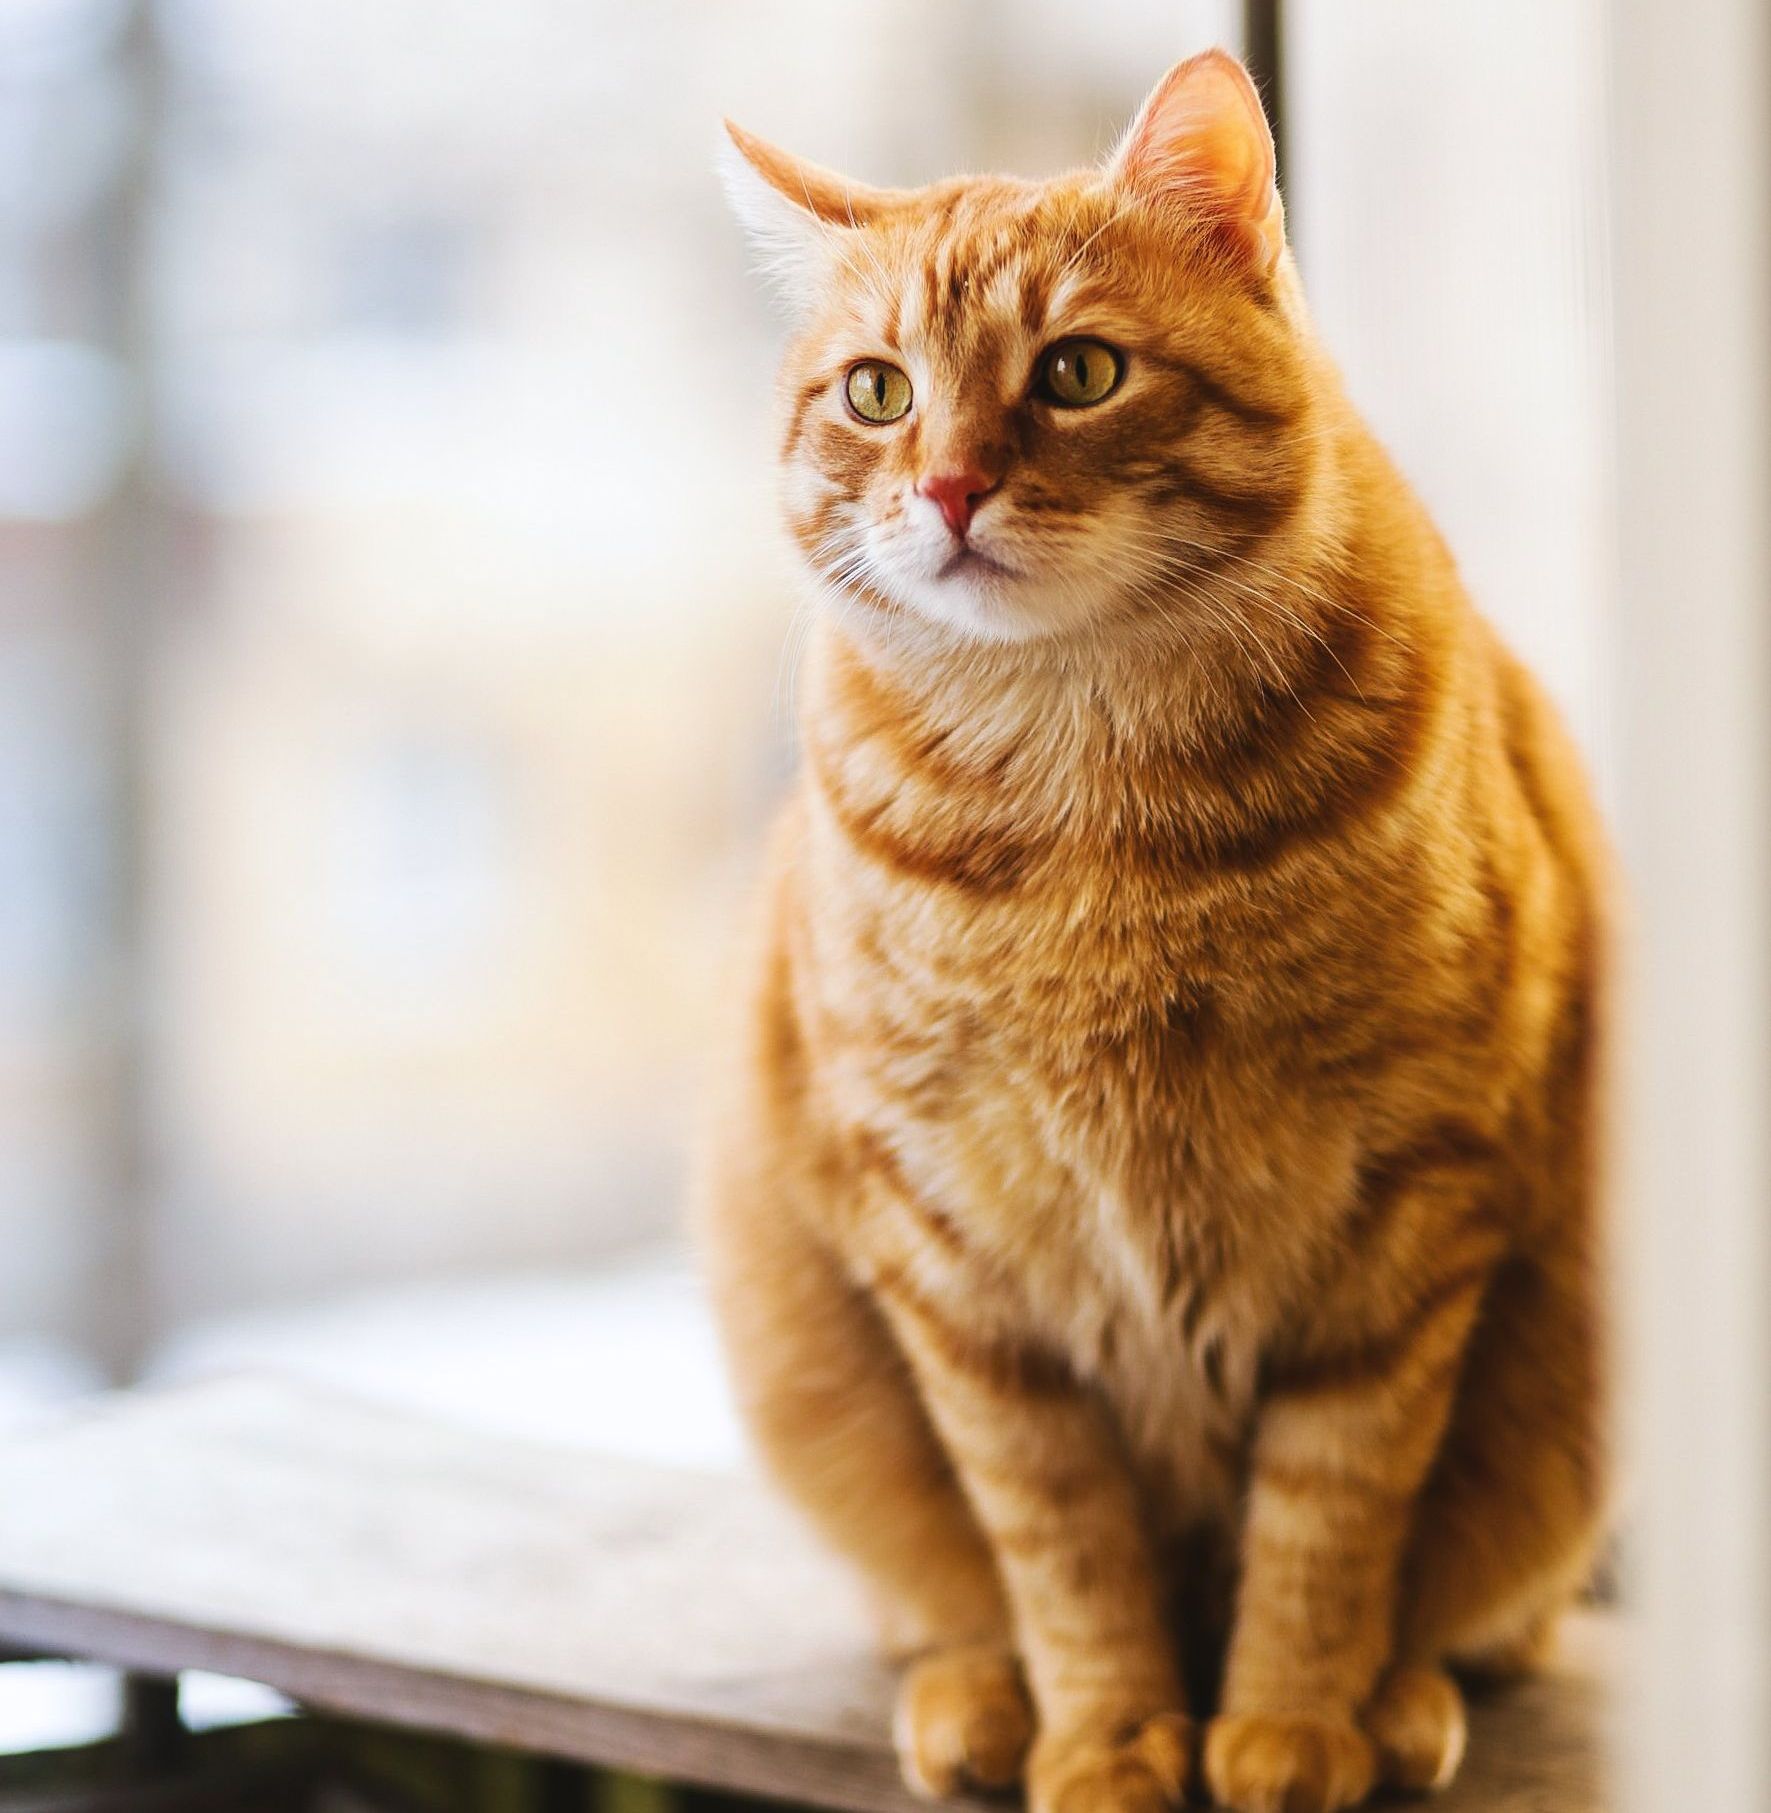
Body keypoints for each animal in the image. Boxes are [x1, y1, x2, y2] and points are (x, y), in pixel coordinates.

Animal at [699, 46, 1609, 1813]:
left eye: (1077, 372)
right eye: (876, 394)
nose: (949, 486)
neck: (1092, 811)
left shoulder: (1408, 1210)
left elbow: (1328, 1518)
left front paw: (1287, 1726)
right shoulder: (954, 1261)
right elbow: (1058, 1548)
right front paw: (1109, 1740)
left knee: (1486, 1613)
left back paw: (1398, 1702)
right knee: (936, 1596)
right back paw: (975, 1700)